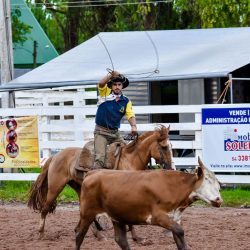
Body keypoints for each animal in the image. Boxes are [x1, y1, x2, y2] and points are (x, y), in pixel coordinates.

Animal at [27, 125, 174, 240]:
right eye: (164, 147)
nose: (171, 168)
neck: (130, 160)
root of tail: (55, 156)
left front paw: (135, 236)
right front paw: (135, 237)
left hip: (79, 187)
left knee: (84, 211)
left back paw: (96, 234)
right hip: (55, 187)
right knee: (45, 208)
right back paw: (41, 234)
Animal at [75, 157, 222, 249]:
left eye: (218, 184)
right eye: (207, 179)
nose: (219, 200)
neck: (175, 187)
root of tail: (92, 173)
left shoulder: (174, 218)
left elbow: (179, 238)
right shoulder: (157, 216)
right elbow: (180, 232)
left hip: (117, 217)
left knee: (121, 240)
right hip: (87, 213)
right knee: (79, 234)